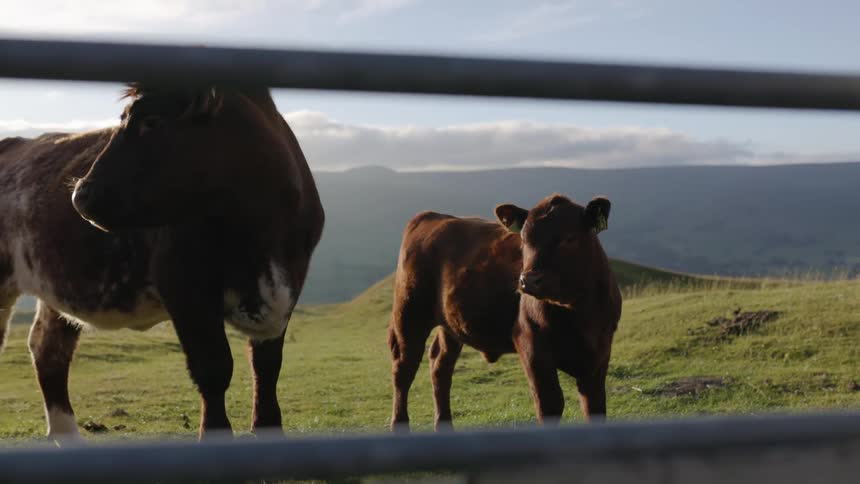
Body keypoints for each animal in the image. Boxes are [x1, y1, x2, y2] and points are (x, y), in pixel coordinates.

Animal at [0, 84, 325, 440]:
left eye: (152, 121)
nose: (80, 196)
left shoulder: (286, 286)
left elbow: (266, 369)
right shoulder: (184, 286)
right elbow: (213, 368)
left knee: (49, 349)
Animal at [388, 194, 621, 431]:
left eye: (569, 238)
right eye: (524, 240)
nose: (528, 280)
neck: (579, 316)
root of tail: (432, 216)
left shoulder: (599, 353)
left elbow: (594, 404)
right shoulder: (530, 344)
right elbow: (550, 403)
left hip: (449, 324)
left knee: (440, 364)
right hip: (409, 313)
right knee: (403, 369)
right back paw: (399, 425)